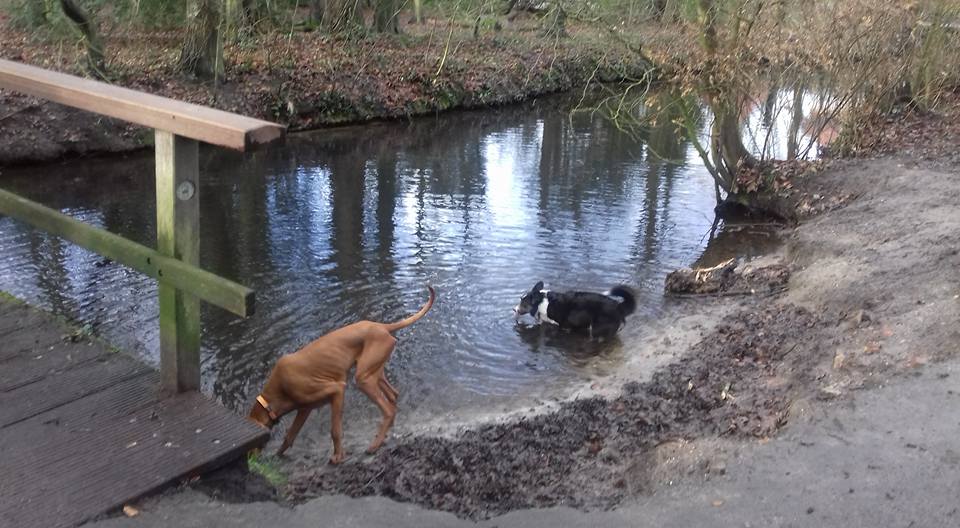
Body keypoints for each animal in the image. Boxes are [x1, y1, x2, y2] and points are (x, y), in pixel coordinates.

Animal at [251, 286, 438, 464]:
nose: (253, 460)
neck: (279, 389)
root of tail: (382, 326)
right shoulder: (304, 409)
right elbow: (290, 436)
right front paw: (277, 455)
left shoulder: (337, 390)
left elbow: (335, 430)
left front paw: (338, 456)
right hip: (373, 372)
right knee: (393, 396)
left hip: (363, 379)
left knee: (388, 410)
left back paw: (375, 445)